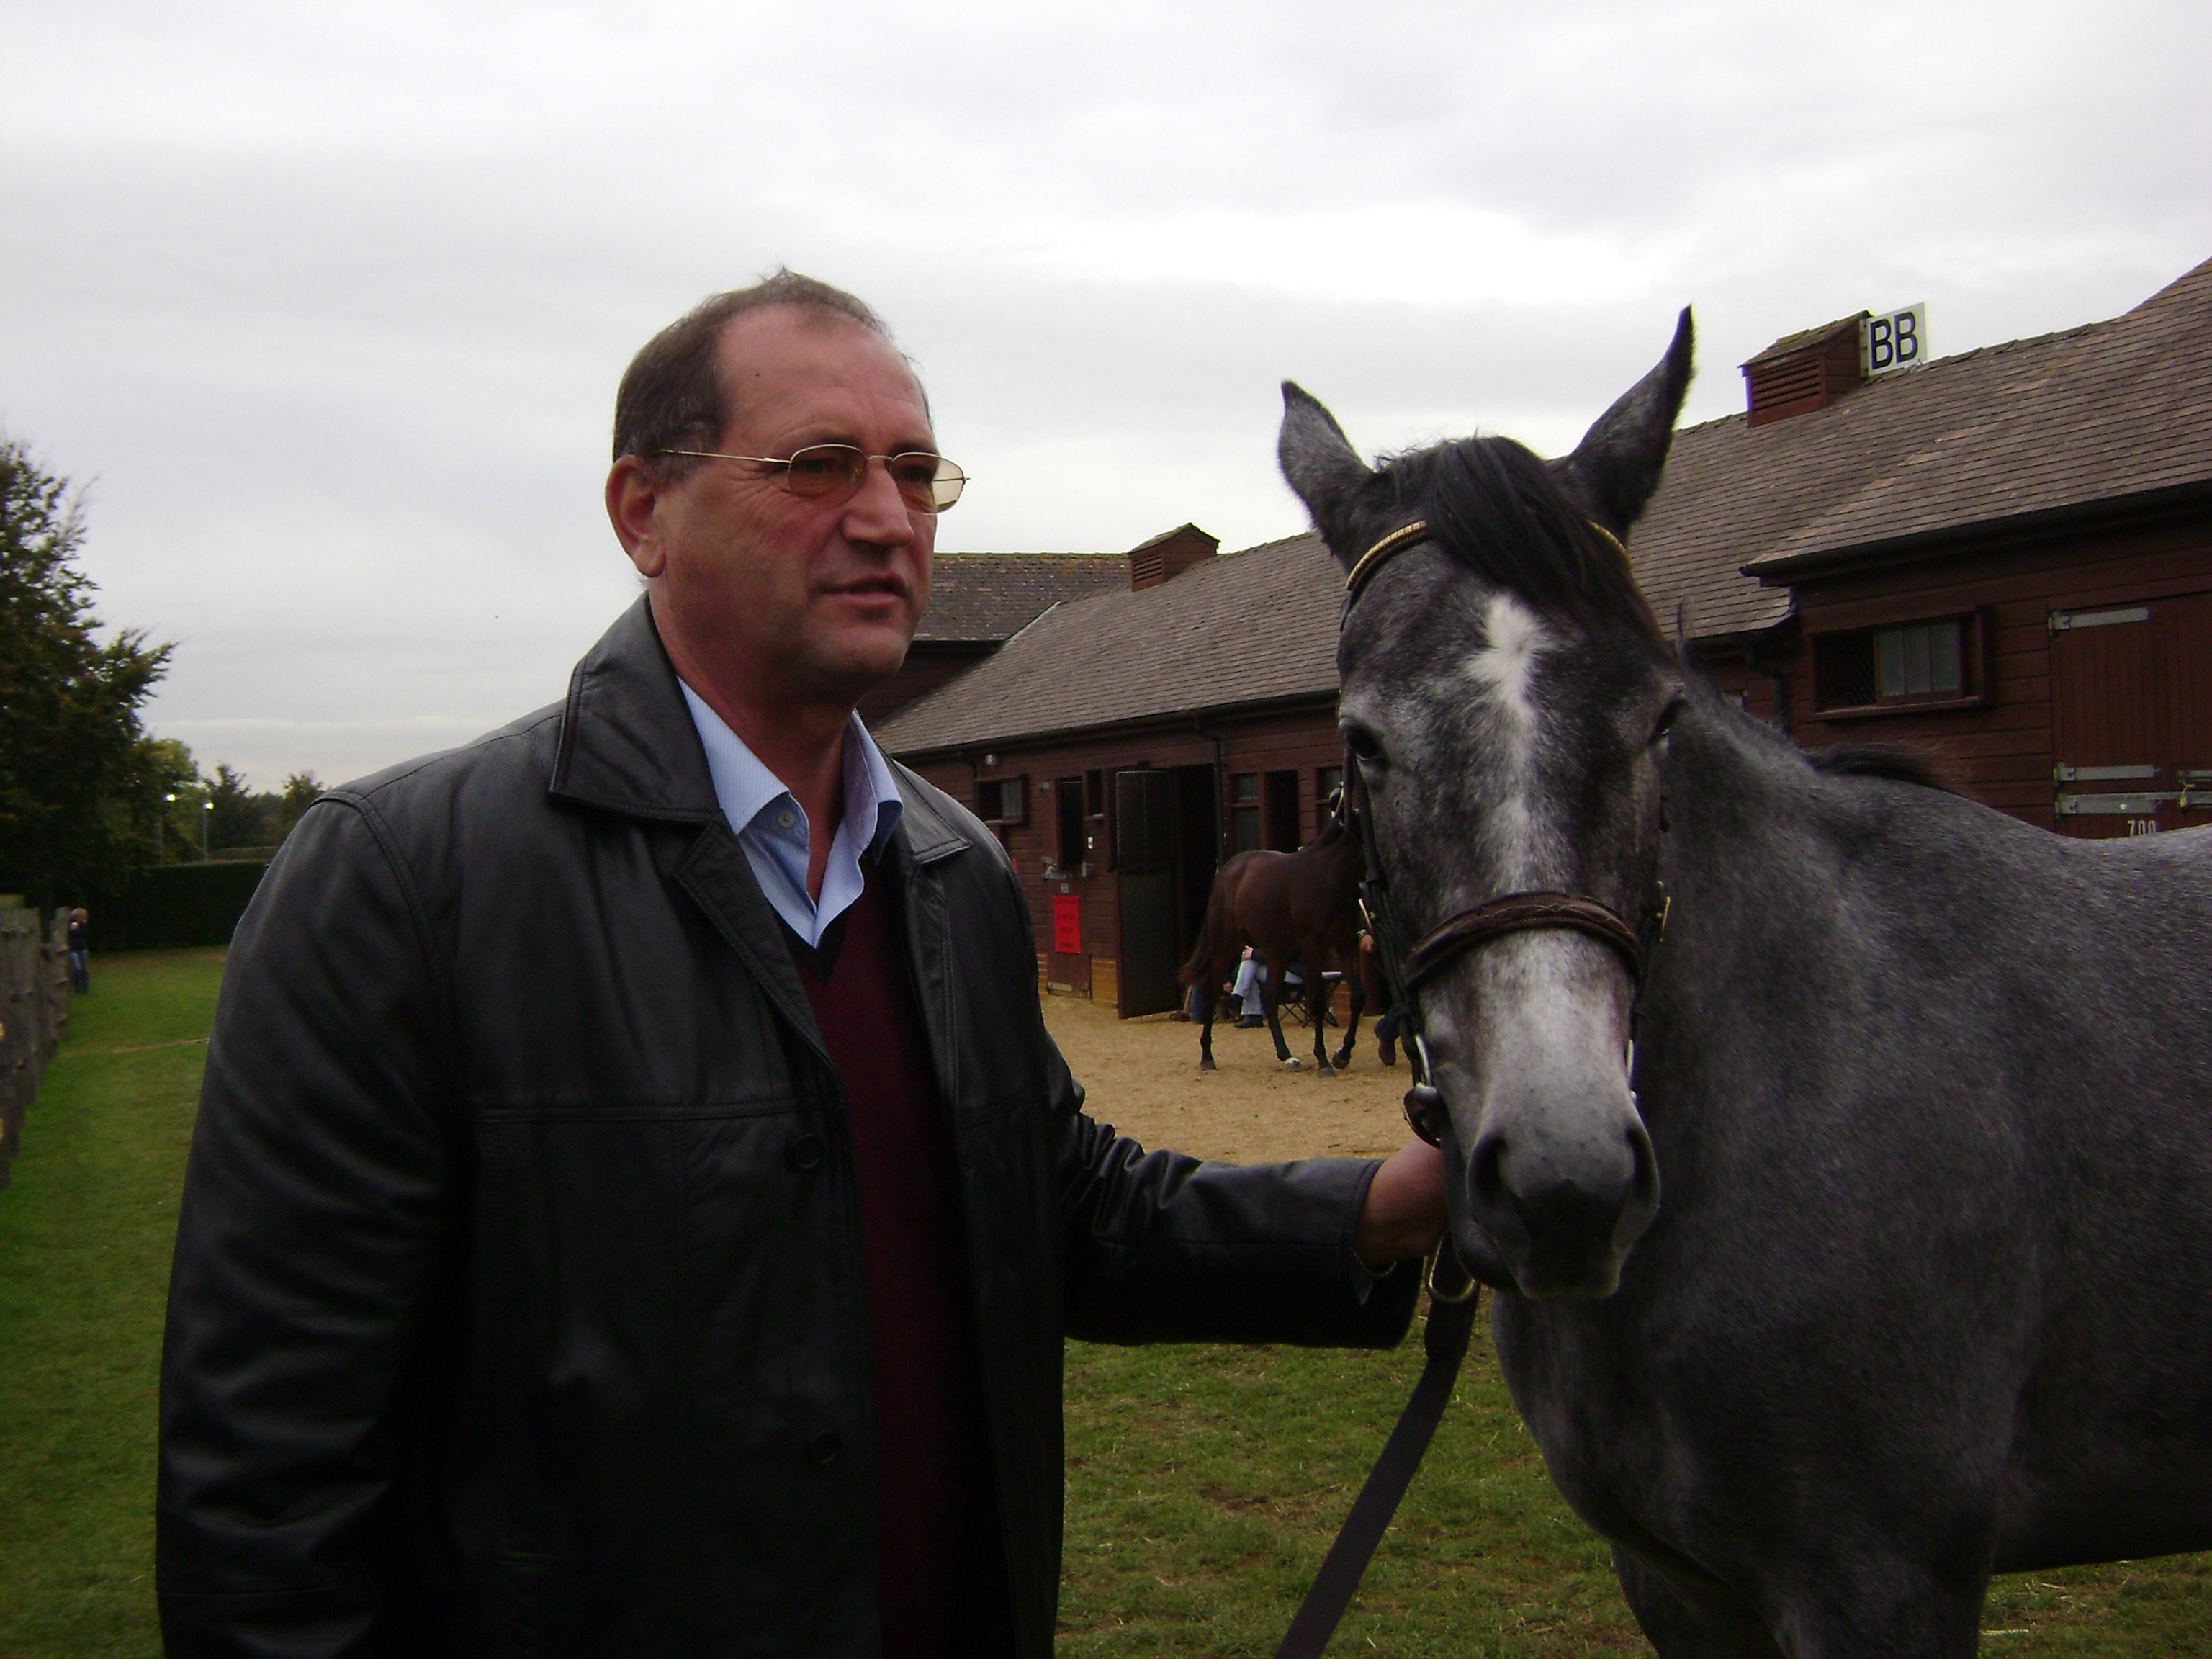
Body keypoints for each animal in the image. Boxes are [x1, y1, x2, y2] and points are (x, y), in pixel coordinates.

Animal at [1177, 818, 1362, 1079]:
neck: (1327, 876)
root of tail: (1227, 870)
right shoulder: (1313, 947)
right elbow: (1317, 1001)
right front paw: (1324, 1061)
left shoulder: (1346, 944)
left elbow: (1357, 997)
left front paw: (1342, 1055)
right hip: (1225, 946)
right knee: (1213, 993)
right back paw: (1207, 1057)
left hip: (1276, 952)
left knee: (1271, 1001)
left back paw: (1287, 1056)